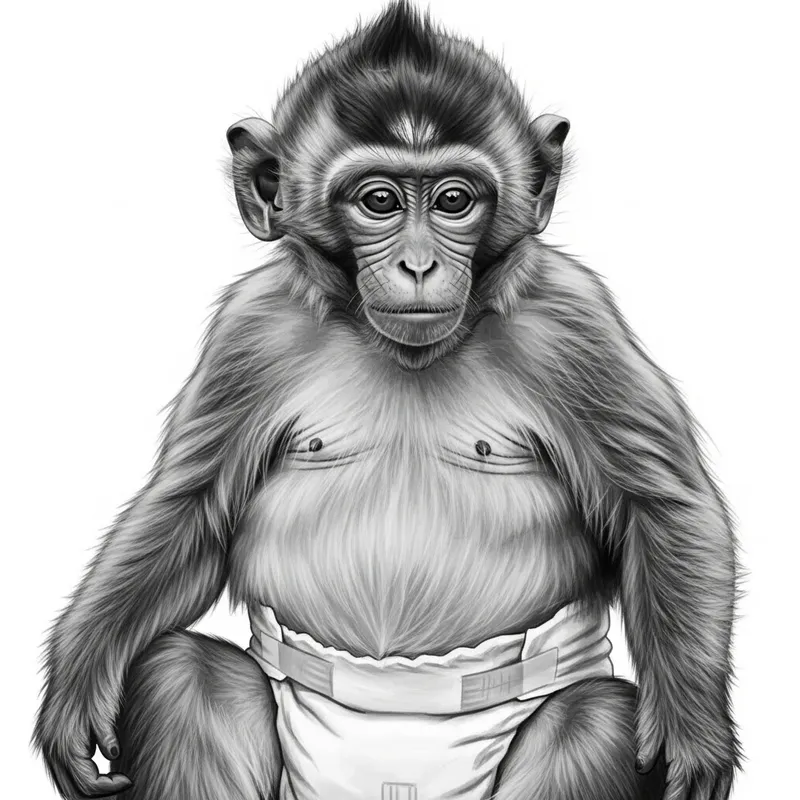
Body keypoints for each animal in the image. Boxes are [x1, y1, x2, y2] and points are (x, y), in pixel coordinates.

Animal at [33, 3, 740, 800]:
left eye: (454, 200)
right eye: (379, 201)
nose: (420, 264)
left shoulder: (571, 320)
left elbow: (662, 506)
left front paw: (692, 729)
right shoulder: (252, 330)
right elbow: (190, 511)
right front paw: (78, 678)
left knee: (594, 718)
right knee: (182, 673)